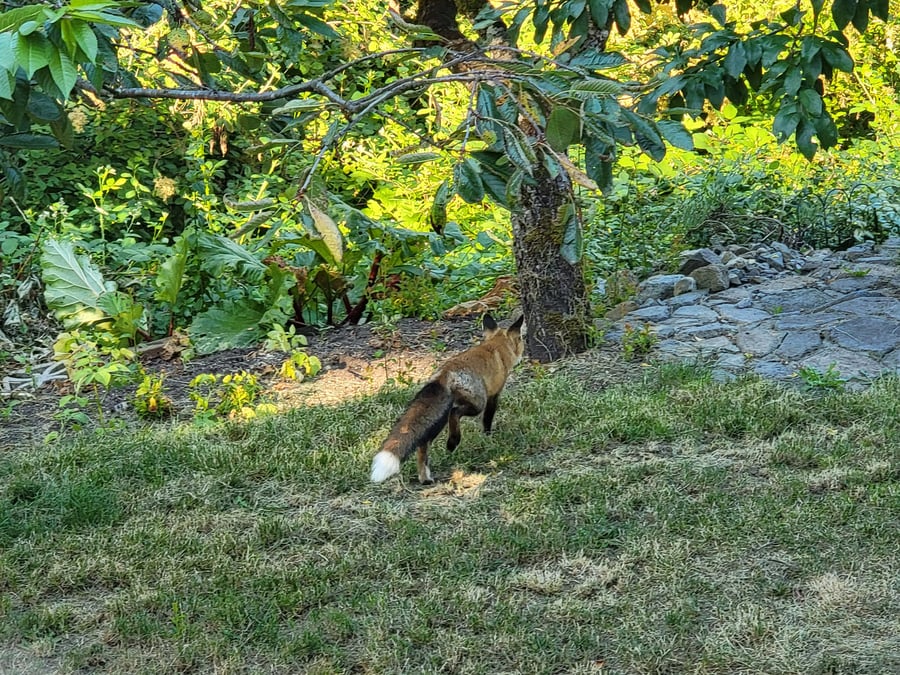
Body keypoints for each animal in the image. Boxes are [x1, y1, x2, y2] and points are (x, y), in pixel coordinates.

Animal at [370, 313, 526, 484]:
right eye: (521, 339)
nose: (523, 353)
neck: (496, 346)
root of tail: (445, 373)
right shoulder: (493, 395)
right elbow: (487, 420)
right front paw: (487, 437)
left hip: (438, 418)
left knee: (423, 444)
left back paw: (425, 478)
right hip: (476, 404)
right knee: (455, 413)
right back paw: (452, 443)